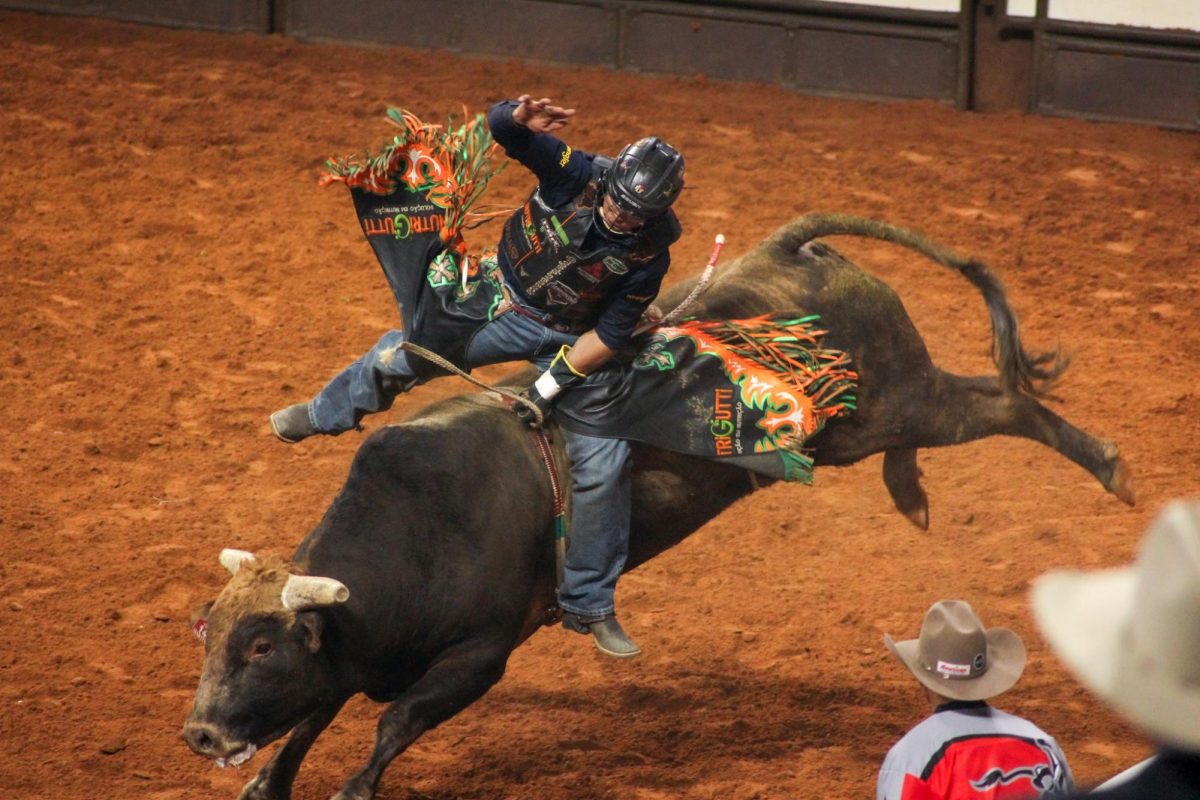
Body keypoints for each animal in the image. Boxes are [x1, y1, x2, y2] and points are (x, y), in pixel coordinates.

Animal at [182, 214, 1128, 800]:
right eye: (210, 633)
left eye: (261, 644)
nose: (199, 733)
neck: (420, 530)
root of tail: (793, 249)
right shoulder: (355, 650)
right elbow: (316, 711)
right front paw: (266, 779)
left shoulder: (481, 652)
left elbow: (395, 721)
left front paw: (350, 784)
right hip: (868, 420)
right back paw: (914, 489)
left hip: (893, 404)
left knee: (1004, 403)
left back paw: (1111, 466)